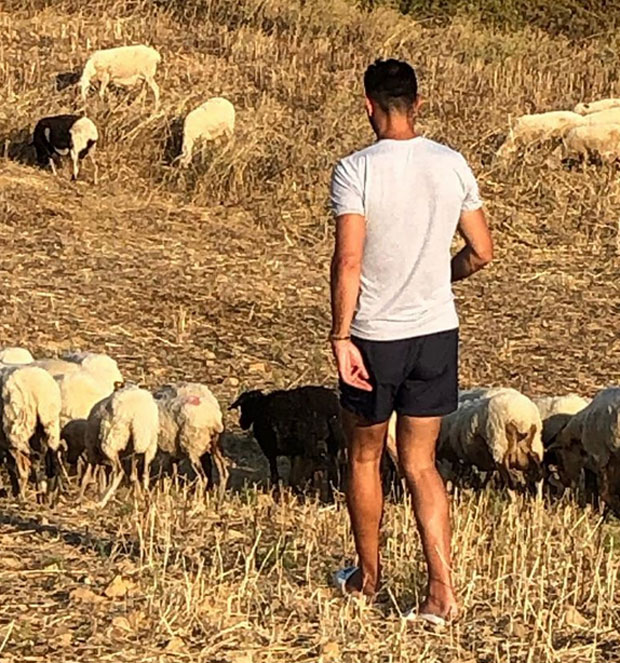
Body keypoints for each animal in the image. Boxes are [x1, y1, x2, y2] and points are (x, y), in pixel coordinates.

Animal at [0, 365, 61, 498]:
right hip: (50, 426)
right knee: (52, 462)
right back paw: (49, 495)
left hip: (19, 428)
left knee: (31, 461)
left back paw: (29, 496)